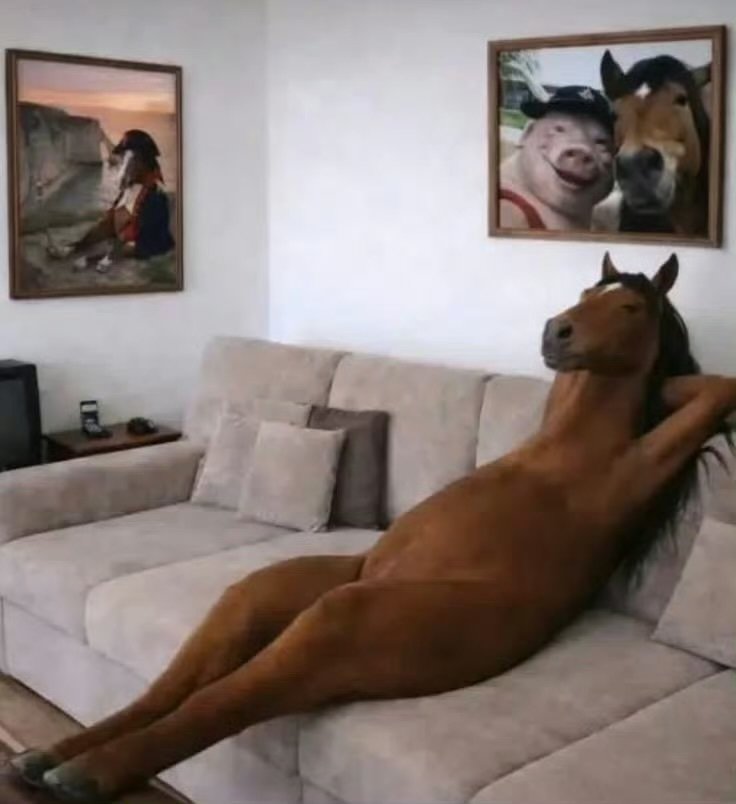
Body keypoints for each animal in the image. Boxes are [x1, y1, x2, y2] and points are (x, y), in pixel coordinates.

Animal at [12, 254, 736, 803]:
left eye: (632, 308)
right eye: (587, 294)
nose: (557, 332)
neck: (571, 441)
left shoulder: (640, 468)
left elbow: (714, 393)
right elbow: (704, 388)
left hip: (350, 619)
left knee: (221, 698)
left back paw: (85, 772)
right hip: (272, 595)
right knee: (180, 686)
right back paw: (57, 756)